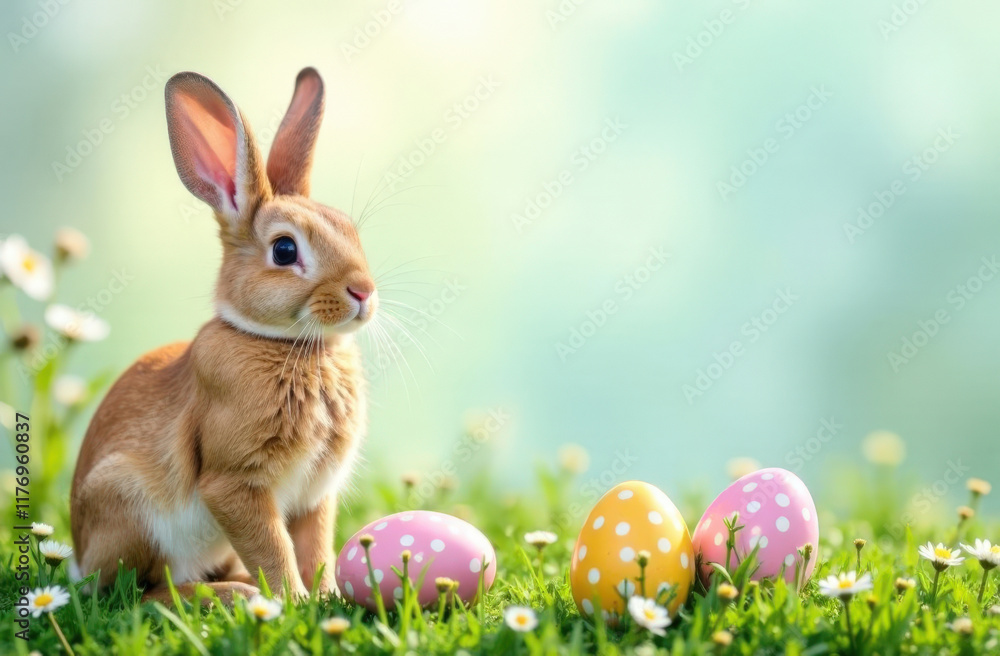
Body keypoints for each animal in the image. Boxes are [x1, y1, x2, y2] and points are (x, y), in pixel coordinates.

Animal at [69, 67, 377, 605]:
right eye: (284, 250)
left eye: (350, 231)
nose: (363, 290)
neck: (289, 345)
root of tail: (78, 556)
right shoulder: (234, 484)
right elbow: (273, 548)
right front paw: (293, 602)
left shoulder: (315, 495)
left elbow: (314, 547)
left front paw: (325, 598)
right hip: (129, 508)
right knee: (138, 594)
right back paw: (232, 596)